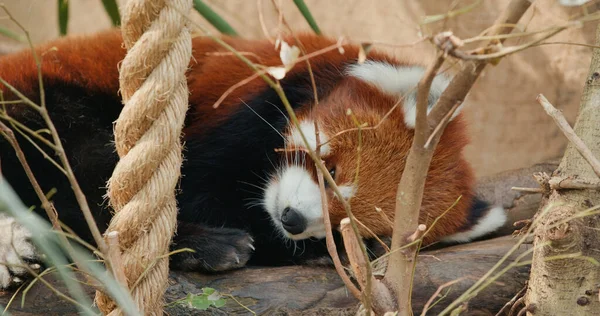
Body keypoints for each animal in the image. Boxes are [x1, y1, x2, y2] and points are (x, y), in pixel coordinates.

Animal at [0, 29, 506, 288]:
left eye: (360, 229)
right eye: (331, 170)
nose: (293, 219)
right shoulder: (250, 101)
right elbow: (196, 188)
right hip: (47, 102)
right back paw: (210, 246)